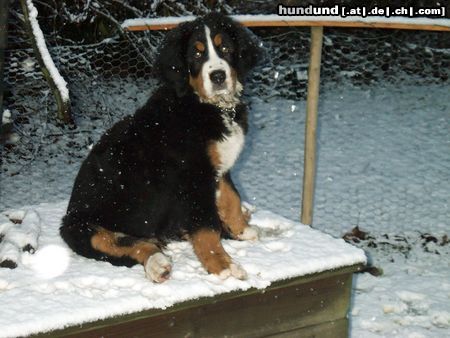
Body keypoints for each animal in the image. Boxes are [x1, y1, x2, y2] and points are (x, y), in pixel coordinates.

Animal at [61, 13, 262, 282]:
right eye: (196, 54)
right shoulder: (194, 177)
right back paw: (157, 264)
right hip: (82, 228)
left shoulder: (219, 168)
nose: (218, 76)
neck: (207, 106)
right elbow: (206, 226)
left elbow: (232, 198)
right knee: (125, 243)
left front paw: (242, 230)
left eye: (226, 48)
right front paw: (222, 265)